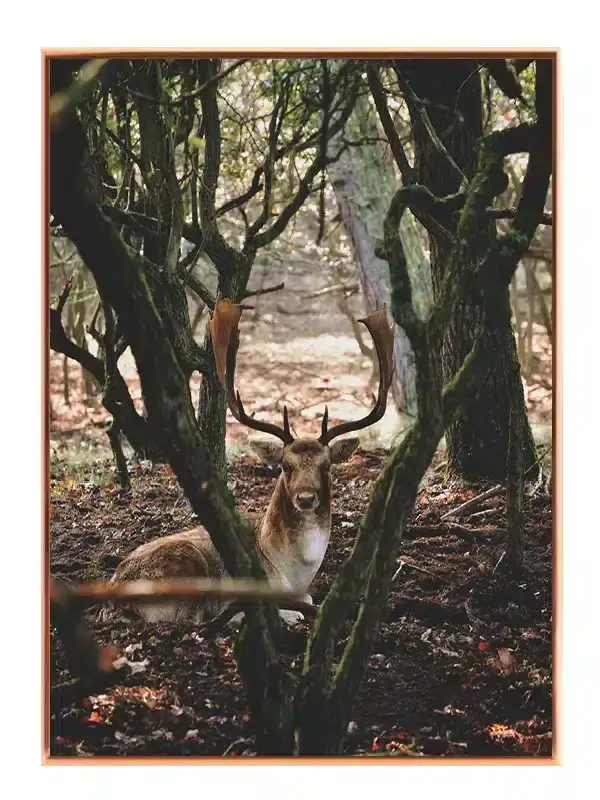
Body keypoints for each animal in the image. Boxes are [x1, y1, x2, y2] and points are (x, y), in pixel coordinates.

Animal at [107, 304, 395, 629]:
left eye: (327, 466)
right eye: (284, 466)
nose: (306, 498)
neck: (292, 574)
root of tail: (116, 593)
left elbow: (309, 598)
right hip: (185, 570)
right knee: (197, 618)